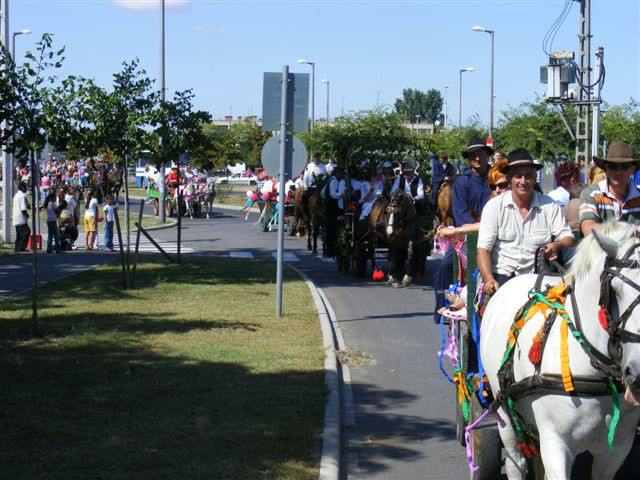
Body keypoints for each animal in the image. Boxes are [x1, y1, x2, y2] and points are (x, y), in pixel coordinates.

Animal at [480, 222, 640, 480]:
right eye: (615, 290)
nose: (637, 374)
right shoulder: (556, 444)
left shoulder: (617, 448)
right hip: (505, 411)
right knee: (516, 462)